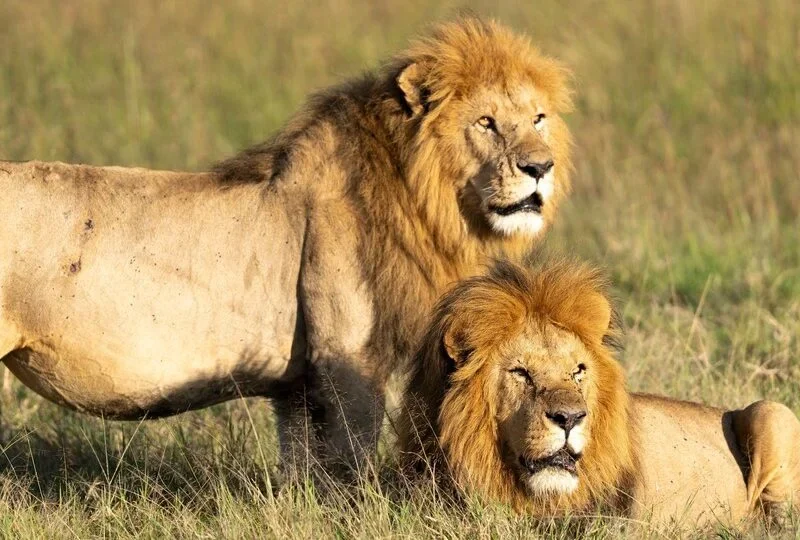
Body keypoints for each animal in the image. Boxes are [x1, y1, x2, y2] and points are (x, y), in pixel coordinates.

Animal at [0, 18, 573, 475]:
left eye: (538, 118)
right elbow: (349, 460)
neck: (420, 197)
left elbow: (301, 467)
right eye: (486, 122)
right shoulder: (346, 360)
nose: (539, 167)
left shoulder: (297, 385)